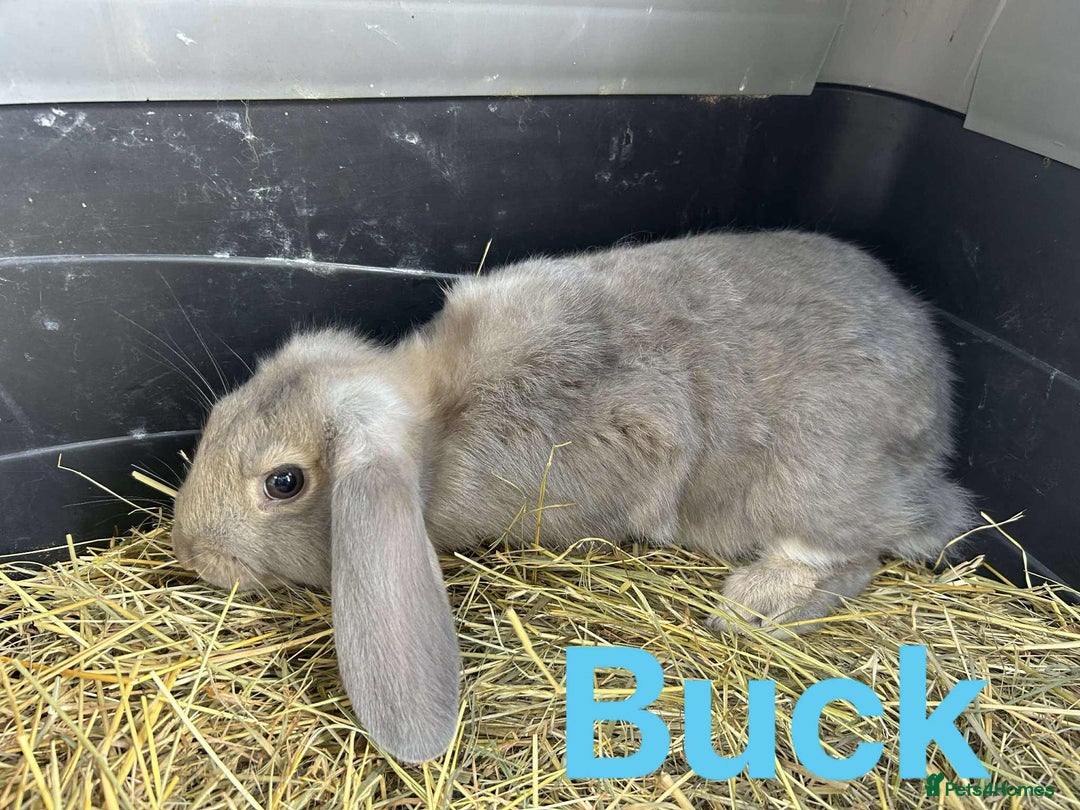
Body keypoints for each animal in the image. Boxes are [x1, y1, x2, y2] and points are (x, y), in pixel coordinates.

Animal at [170, 230, 973, 763]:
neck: (441, 417)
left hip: (807, 491)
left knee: (860, 552)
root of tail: (936, 419)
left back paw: (755, 603)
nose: (188, 548)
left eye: (284, 482)